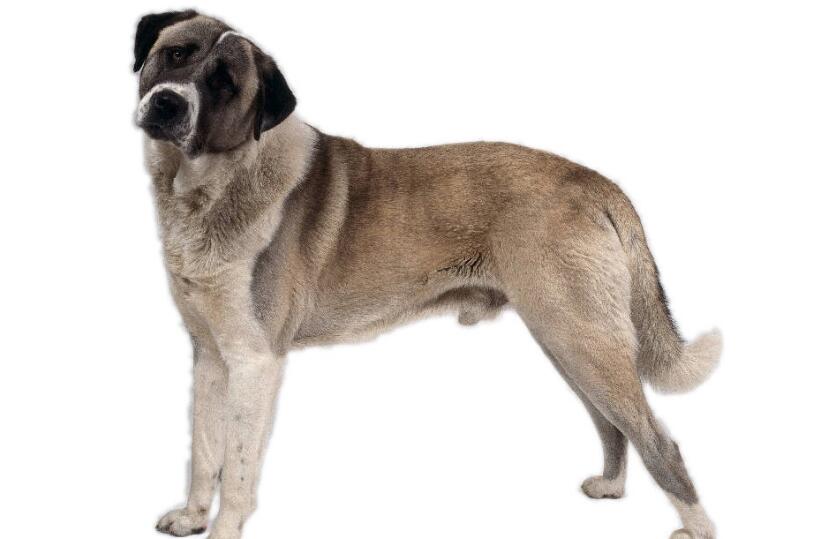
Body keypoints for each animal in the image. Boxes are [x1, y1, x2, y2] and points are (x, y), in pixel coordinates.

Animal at [134, 10, 722, 539]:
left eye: (224, 83)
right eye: (177, 54)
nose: (167, 102)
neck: (212, 183)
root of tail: (597, 182)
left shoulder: (255, 363)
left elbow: (236, 467)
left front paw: (221, 530)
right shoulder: (211, 356)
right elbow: (203, 450)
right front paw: (191, 519)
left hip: (582, 339)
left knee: (656, 438)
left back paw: (695, 527)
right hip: (568, 341)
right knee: (612, 423)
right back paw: (610, 487)